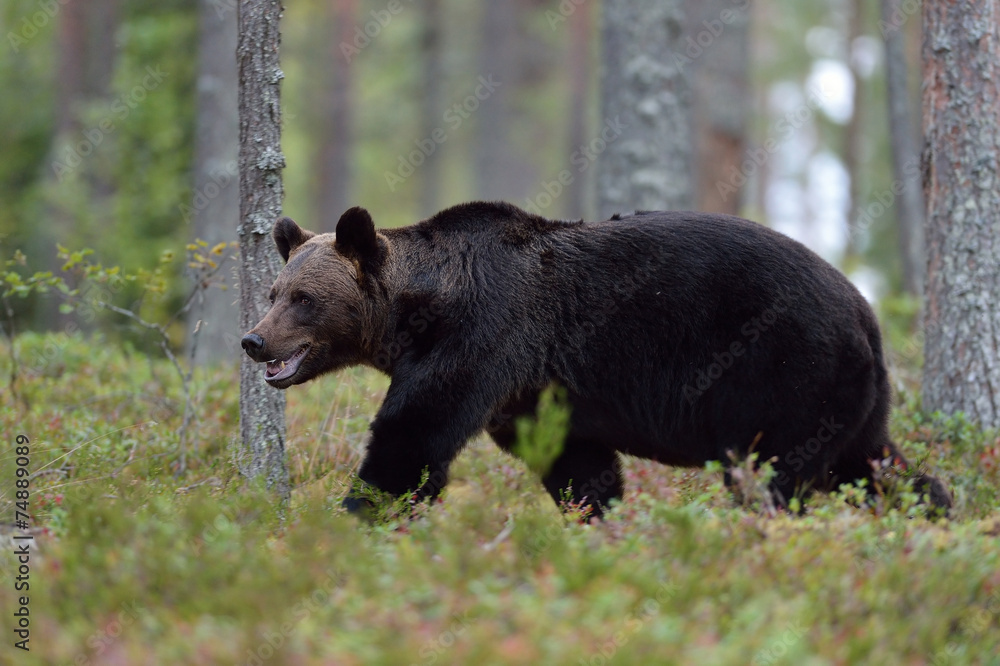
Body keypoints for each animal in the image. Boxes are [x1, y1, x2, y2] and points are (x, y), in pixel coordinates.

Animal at [241, 201, 952, 518]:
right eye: (273, 293)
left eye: (304, 299)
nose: (253, 340)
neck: (421, 310)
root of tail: (865, 309)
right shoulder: (531, 395)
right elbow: (580, 468)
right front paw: (599, 520)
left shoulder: (486, 338)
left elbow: (410, 442)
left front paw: (353, 519)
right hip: (849, 395)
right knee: (871, 461)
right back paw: (937, 513)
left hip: (783, 372)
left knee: (778, 472)